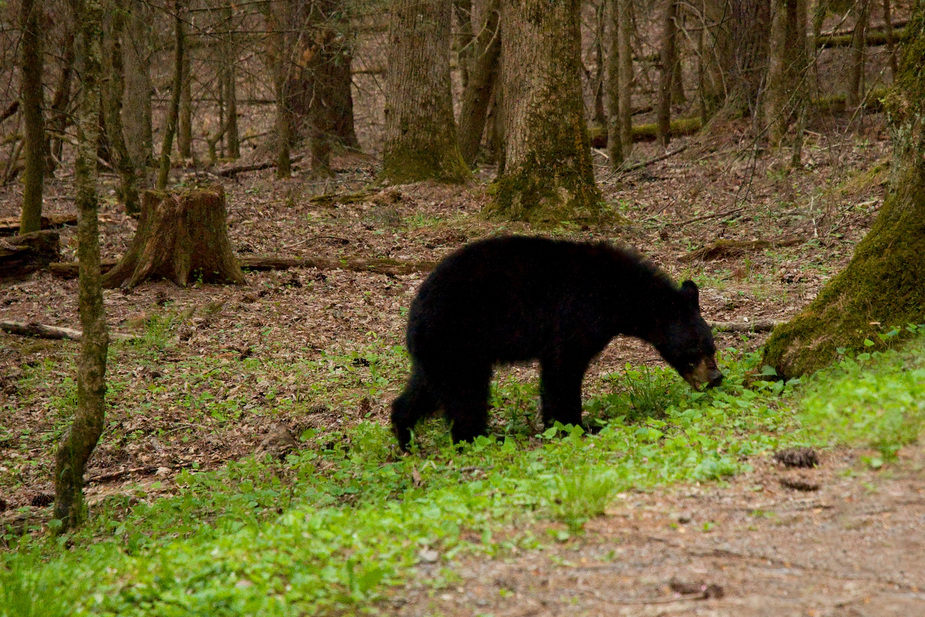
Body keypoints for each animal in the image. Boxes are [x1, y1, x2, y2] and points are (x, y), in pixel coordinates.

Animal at [390, 235, 720, 448]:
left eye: (712, 347)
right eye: (696, 349)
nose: (716, 377)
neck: (619, 295)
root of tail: (415, 309)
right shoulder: (577, 312)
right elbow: (563, 368)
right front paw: (577, 425)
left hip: (440, 349)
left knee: (425, 388)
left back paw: (405, 436)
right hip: (459, 337)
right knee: (465, 393)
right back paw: (480, 437)